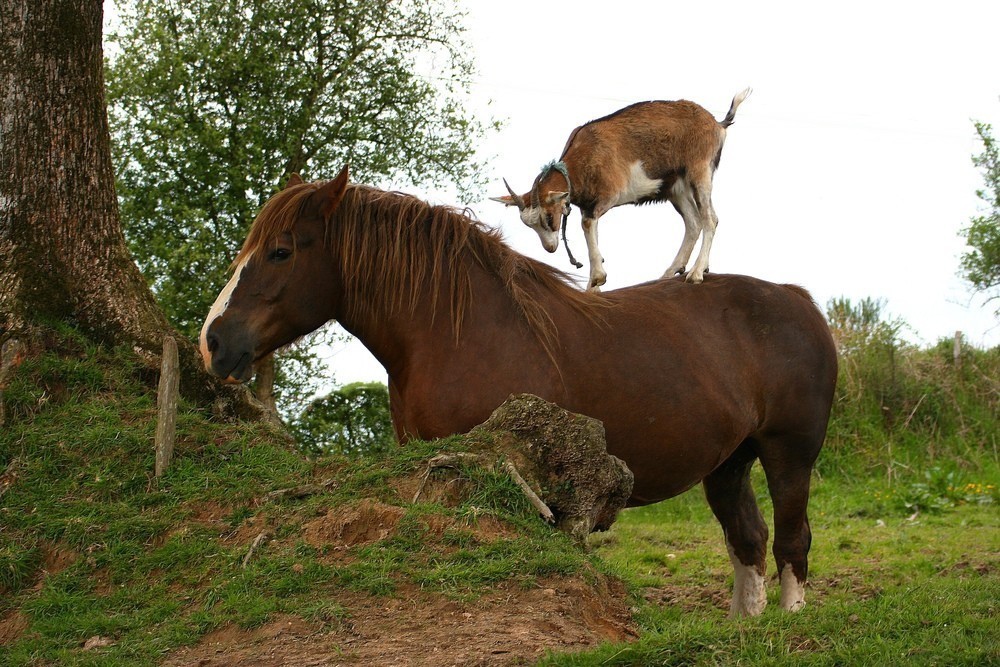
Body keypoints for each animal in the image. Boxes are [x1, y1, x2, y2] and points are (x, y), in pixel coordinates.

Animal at [201, 166, 836, 616]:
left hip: (788, 455)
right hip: (728, 463)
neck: (462, 332)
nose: (213, 342)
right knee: (748, 542)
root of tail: (798, 300)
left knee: (791, 542)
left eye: (282, 250)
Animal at [492, 88, 752, 290]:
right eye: (529, 225)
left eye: (548, 217)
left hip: (700, 171)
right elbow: (591, 229)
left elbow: (587, 224)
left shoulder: (608, 195)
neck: (583, 158)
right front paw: (594, 286)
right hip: (675, 188)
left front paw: (598, 278)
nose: (550, 248)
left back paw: (696, 273)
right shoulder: (588, 204)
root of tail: (717, 124)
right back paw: (671, 272)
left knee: (710, 219)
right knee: (693, 222)